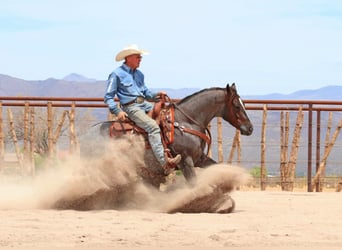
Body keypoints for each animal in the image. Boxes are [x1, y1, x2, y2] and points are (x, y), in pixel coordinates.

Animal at [89, 83, 252, 188]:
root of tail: (88, 132)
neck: (186, 122)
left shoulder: (199, 159)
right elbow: (193, 184)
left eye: (244, 104)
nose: (250, 128)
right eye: (236, 105)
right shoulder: (186, 161)